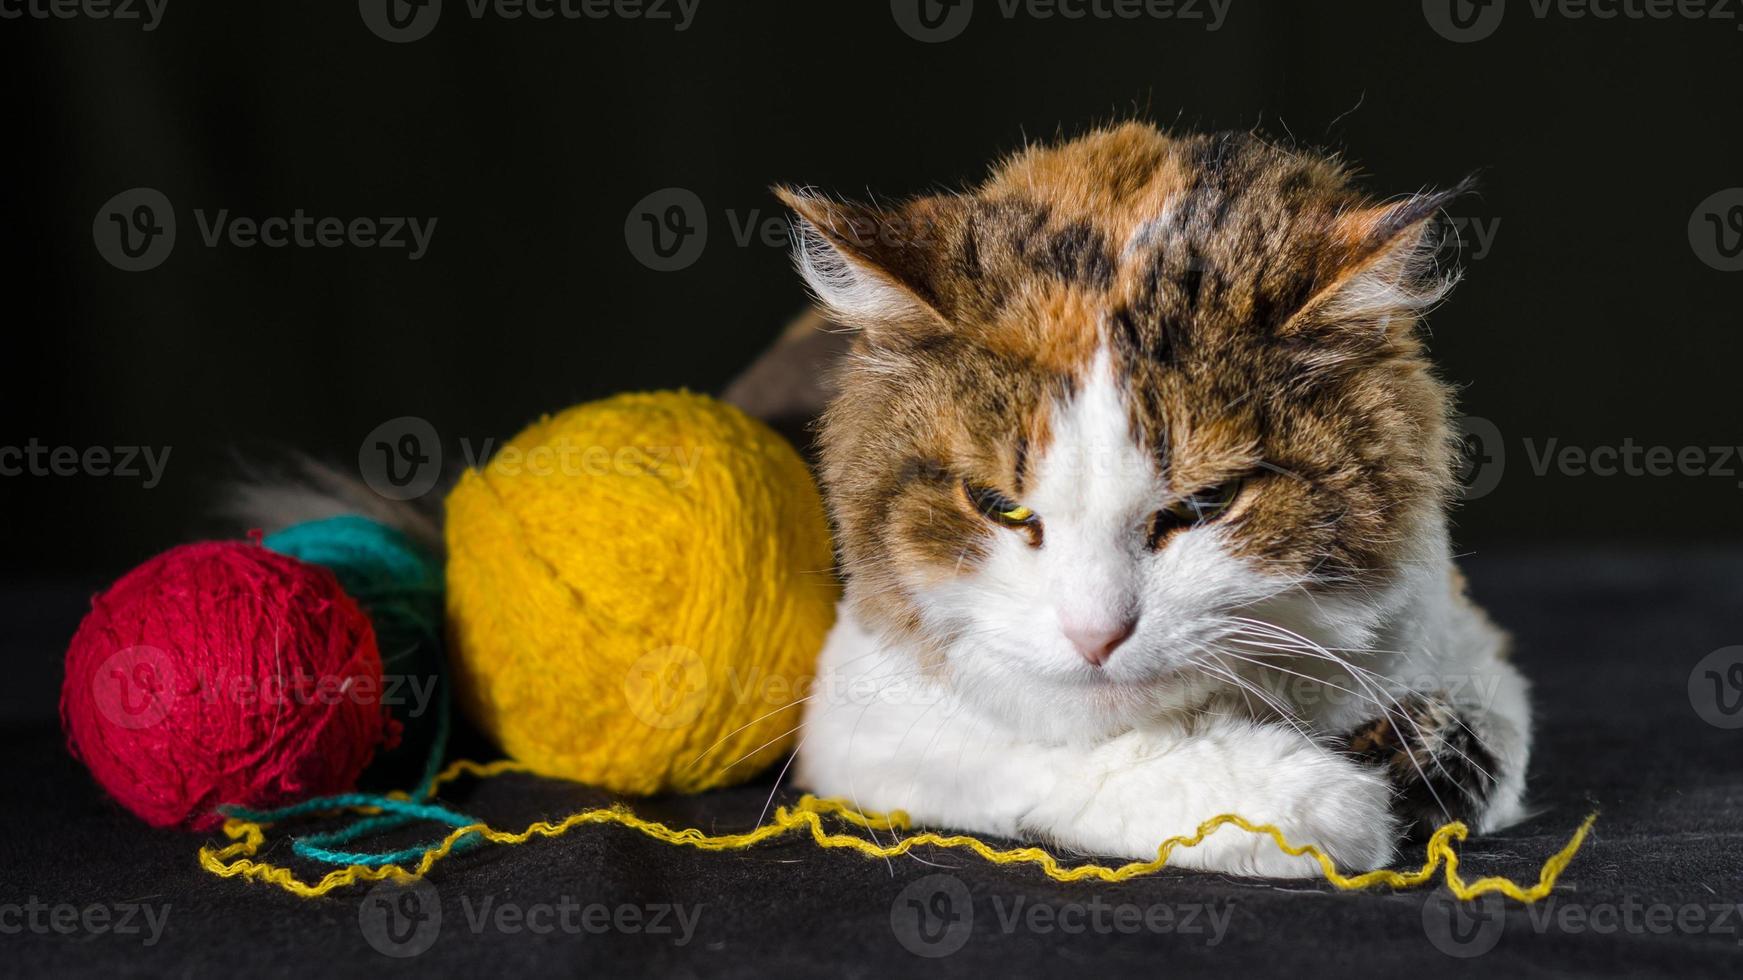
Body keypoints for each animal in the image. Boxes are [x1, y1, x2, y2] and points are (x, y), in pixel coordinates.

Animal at [777, 118, 1526, 871]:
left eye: (1203, 505)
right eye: (999, 506)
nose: (1094, 637)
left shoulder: (1456, 636)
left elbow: (1493, 739)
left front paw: (1420, 756)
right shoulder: (858, 718)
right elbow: (1054, 754)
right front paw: (1318, 802)